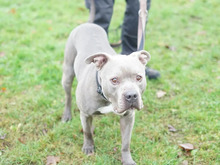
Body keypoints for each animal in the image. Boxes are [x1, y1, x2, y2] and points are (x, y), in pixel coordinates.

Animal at [62, 22, 151, 164]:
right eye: (114, 80)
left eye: (139, 77)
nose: (131, 95)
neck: (106, 97)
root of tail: (88, 24)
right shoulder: (85, 114)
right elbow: (87, 132)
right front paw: (88, 147)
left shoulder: (128, 117)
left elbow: (126, 142)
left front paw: (127, 160)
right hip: (68, 73)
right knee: (68, 96)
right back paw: (67, 114)